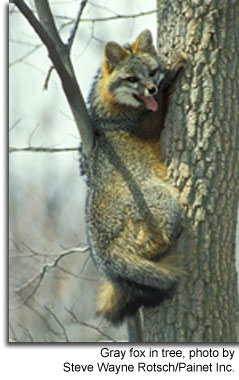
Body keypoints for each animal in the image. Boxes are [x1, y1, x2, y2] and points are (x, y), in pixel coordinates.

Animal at [81, 29, 186, 324]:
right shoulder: (149, 125)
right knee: (160, 243)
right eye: (132, 79)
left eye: (151, 72)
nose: (152, 89)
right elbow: (161, 106)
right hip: (163, 203)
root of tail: (104, 254)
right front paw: (173, 75)